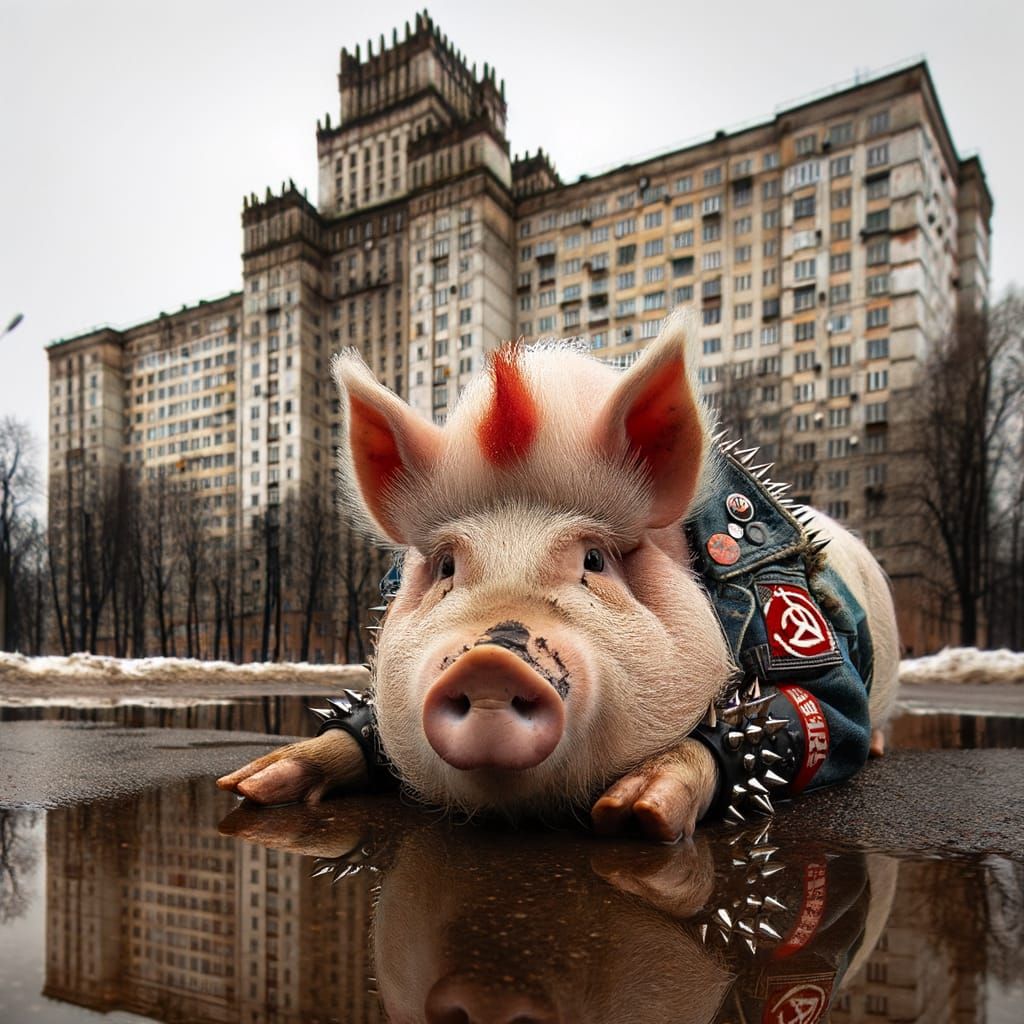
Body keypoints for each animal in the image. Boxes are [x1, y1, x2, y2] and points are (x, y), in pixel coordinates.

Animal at [218, 309, 899, 840]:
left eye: (593, 560)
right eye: (447, 566)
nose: (490, 661)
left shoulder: (775, 597)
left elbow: (822, 702)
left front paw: (635, 813)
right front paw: (250, 785)